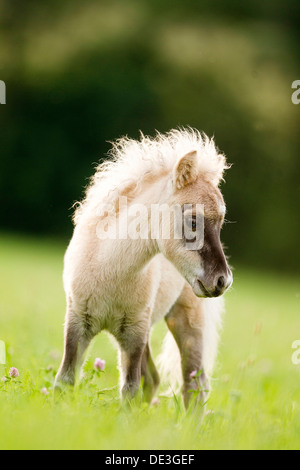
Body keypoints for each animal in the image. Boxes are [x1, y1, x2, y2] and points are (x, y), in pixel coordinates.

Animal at [54, 127, 232, 408]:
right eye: (193, 220)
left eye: (221, 222)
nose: (222, 281)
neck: (110, 270)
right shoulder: (77, 322)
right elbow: (65, 380)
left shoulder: (134, 335)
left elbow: (130, 390)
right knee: (155, 380)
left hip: (187, 319)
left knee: (194, 386)